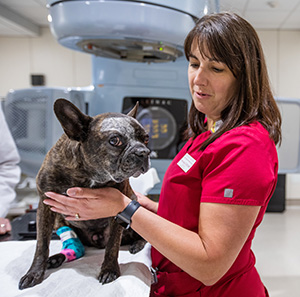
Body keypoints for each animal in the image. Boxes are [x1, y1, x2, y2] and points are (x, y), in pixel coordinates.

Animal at [18, 98, 150, 288]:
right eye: (115, 140)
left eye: (146, 138)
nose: (143, 152)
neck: (89, 173)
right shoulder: (45, 206)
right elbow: (41, 245)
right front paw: (34, 273)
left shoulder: (119, 210)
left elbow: (112, 246)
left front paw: (109, 269)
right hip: (59, 219)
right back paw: (56, 259)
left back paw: (137, 244)